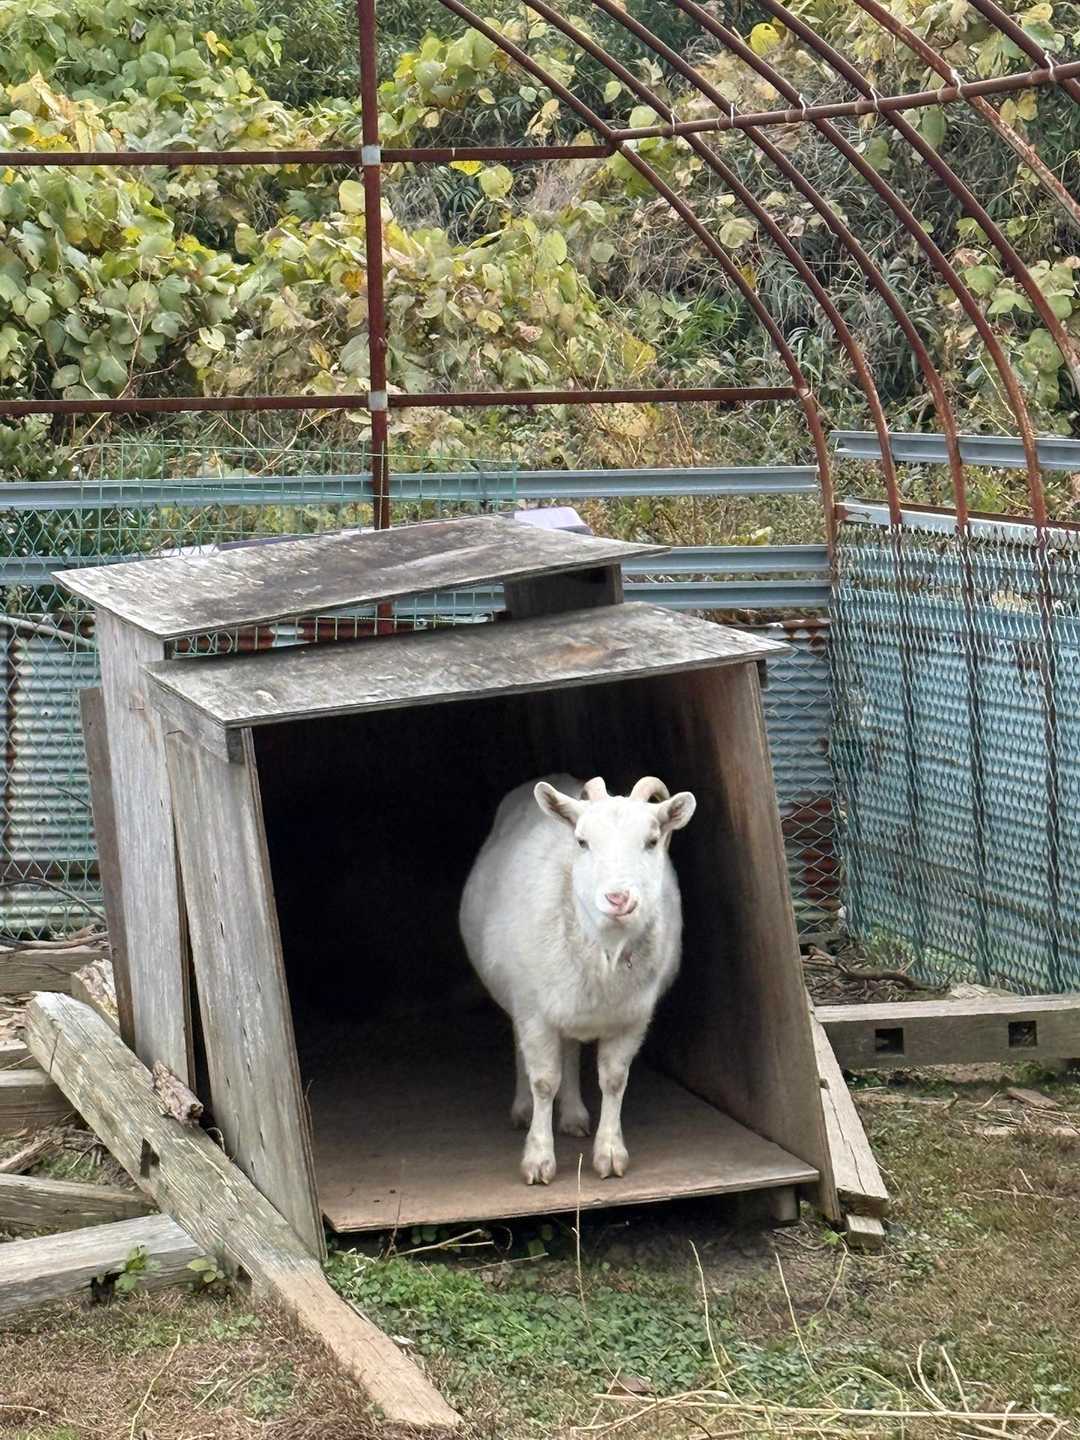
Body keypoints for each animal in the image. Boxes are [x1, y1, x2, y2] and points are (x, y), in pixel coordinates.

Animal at [459, 773, 696, 1185]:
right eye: (582, 842)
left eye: (651, 841)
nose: (618, 899)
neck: (606, 950)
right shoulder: (534, 1011)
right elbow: (543, 1081)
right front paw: (538, 1160)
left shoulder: (632, 1017)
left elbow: (614, 1079)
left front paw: (610, 1154)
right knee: (524, 1051)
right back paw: (523, 1109)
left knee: (569, 1051)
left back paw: (573, 1116)